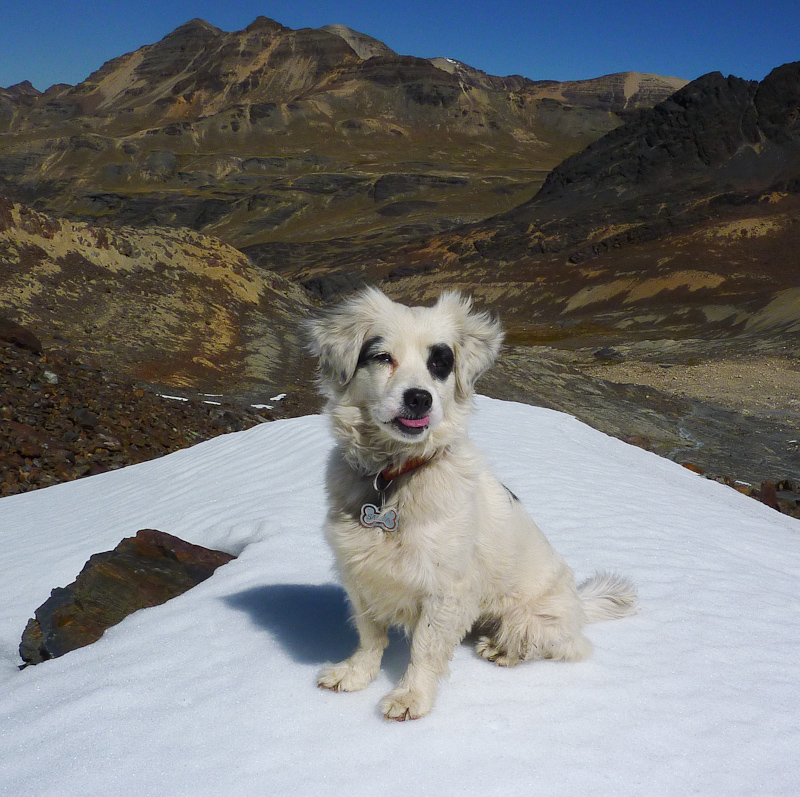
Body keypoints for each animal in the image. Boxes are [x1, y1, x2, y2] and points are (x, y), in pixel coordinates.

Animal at [306, 290, 636, 720]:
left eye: (440, 363)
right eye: (381, 357)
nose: (419, 398)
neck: (393, 476)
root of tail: (580, 604)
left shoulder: (446, 590)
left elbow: (425, 648)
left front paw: (411, 696)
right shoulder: (359, 572)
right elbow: (369, 635)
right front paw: (356, 674)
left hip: (531, 618)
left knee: (562, 646)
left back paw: (503, 651)